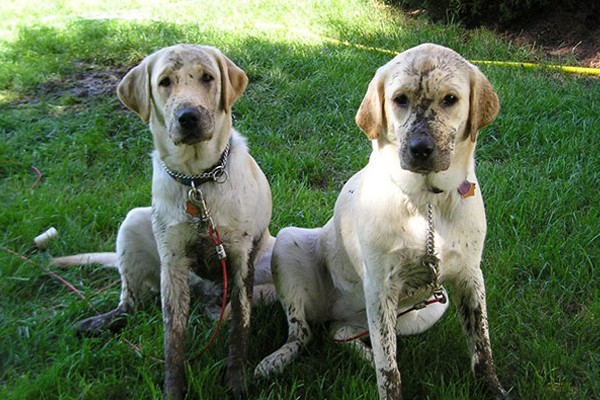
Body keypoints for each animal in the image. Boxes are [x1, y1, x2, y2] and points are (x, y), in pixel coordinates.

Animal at [55, 45, 274, 398]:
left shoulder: (240, 259)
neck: (197, 180)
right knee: (129, 303)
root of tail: (203, 293)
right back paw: (98, 323)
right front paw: (174, 388)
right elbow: (173, 338)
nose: (189, 116)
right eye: (165, 82)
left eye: (208, 78)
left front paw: (236, 382)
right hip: (133, 224)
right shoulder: (172, 265)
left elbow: (240, 330)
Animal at [255, 42, 508, 398]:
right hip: (290, 245)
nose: (420, 148)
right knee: (302, 333)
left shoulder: (470, 277)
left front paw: (493, 389)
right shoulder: (381, 287)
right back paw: (275, 361)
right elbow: (389, 368)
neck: (426, 203)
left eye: (450, 99)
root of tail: (337, 312)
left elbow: (482, 347)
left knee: (340, 334)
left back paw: (359, 352)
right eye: (400, 98)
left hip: (429, 308)